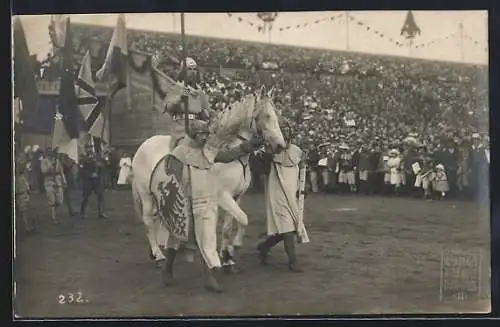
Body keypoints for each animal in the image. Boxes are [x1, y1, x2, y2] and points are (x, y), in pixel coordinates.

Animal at [130, 86, 286, 266]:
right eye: (266, 116)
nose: (280, 146)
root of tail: (142, 147)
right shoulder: (223, 196)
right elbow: (243, 219)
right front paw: (233, 248)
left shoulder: (237, 197)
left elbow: (229, 227)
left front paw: (227, 257)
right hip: (146, 195)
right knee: (148, 221)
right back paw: (159, 255)